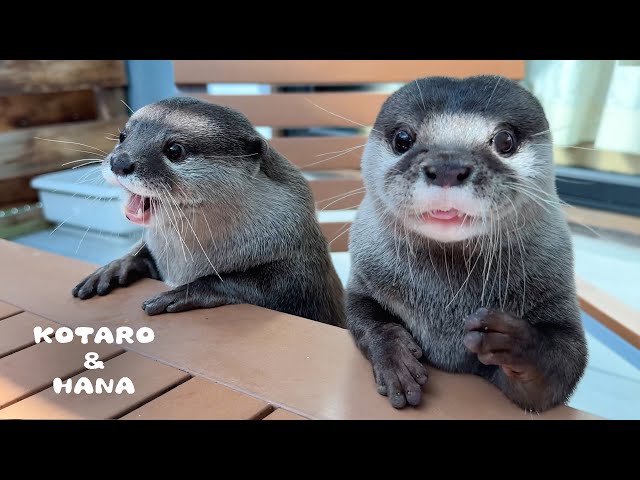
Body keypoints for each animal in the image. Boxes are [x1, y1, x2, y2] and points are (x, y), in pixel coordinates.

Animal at [72, 97, 344, 326]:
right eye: (122, 136)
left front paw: (184, 292)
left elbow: (267, 286)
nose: (119, 161)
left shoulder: (304, 271)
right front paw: (113, 268)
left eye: (174, 150)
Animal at [346, 76, 587, 411]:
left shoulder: (556, 290)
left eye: (505, 141)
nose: (447, 167)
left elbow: (557, 372)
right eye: (403, 139)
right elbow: (367, 319)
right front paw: (396, 362)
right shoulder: (364, 278)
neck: (445, 301)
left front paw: (510, 340)